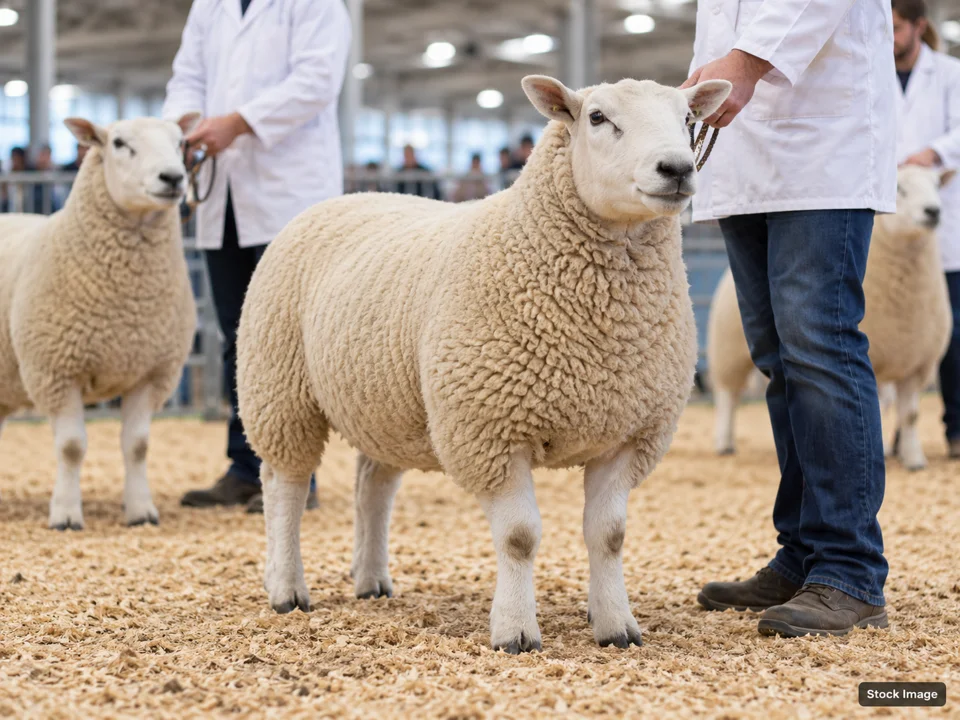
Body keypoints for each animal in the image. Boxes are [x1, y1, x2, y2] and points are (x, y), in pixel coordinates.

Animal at [0, 113, 201, 529]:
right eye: (119, 143)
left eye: (180, 142)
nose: (173, 178)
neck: (126, 304)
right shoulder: (57, 370)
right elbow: (71, 447)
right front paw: (65, 515)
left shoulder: (151, 373)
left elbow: (138, 446)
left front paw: (141, 511)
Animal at [237, 75, 732, 652]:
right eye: (597, 118)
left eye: (688, 119)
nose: (677, 168)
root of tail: (347, 195)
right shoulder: (491, 428)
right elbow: (519, 537)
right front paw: (515, 631)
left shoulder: (628, 435)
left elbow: (609, 536)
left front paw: (616, 626)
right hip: (279, 389)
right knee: (285, 486)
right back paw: (286, 587)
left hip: (385, 403)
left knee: (373, 487)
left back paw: (371, 579)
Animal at [706, 165, 954, 469]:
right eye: (900, 189)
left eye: (936, 185)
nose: (933, 211)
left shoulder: (918, 364)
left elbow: (910, 415)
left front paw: (914, 459)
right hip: (727, 351)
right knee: (727, 397)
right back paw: (724, 442)